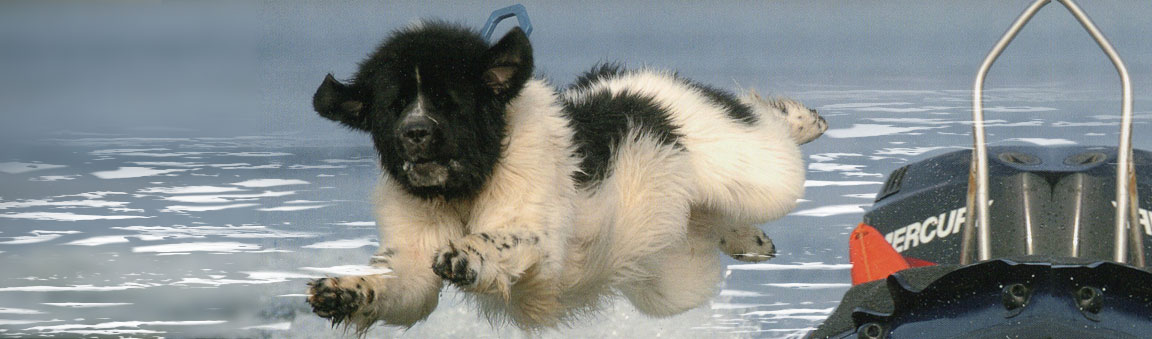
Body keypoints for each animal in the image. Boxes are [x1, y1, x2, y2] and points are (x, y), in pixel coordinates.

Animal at [306, 22, 829, 332]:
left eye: (449, 103)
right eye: (392, 107)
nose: (414, 133)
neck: (466, 187)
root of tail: (644, 84)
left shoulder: (540, 241)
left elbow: (507, 239)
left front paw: (466, 255)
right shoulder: (412, 257)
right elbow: (404, 286)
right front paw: (343, 291)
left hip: (749, 166)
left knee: (771, 138)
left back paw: (805, 120)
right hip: (671, 271)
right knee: (709, 228)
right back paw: (748, 239)